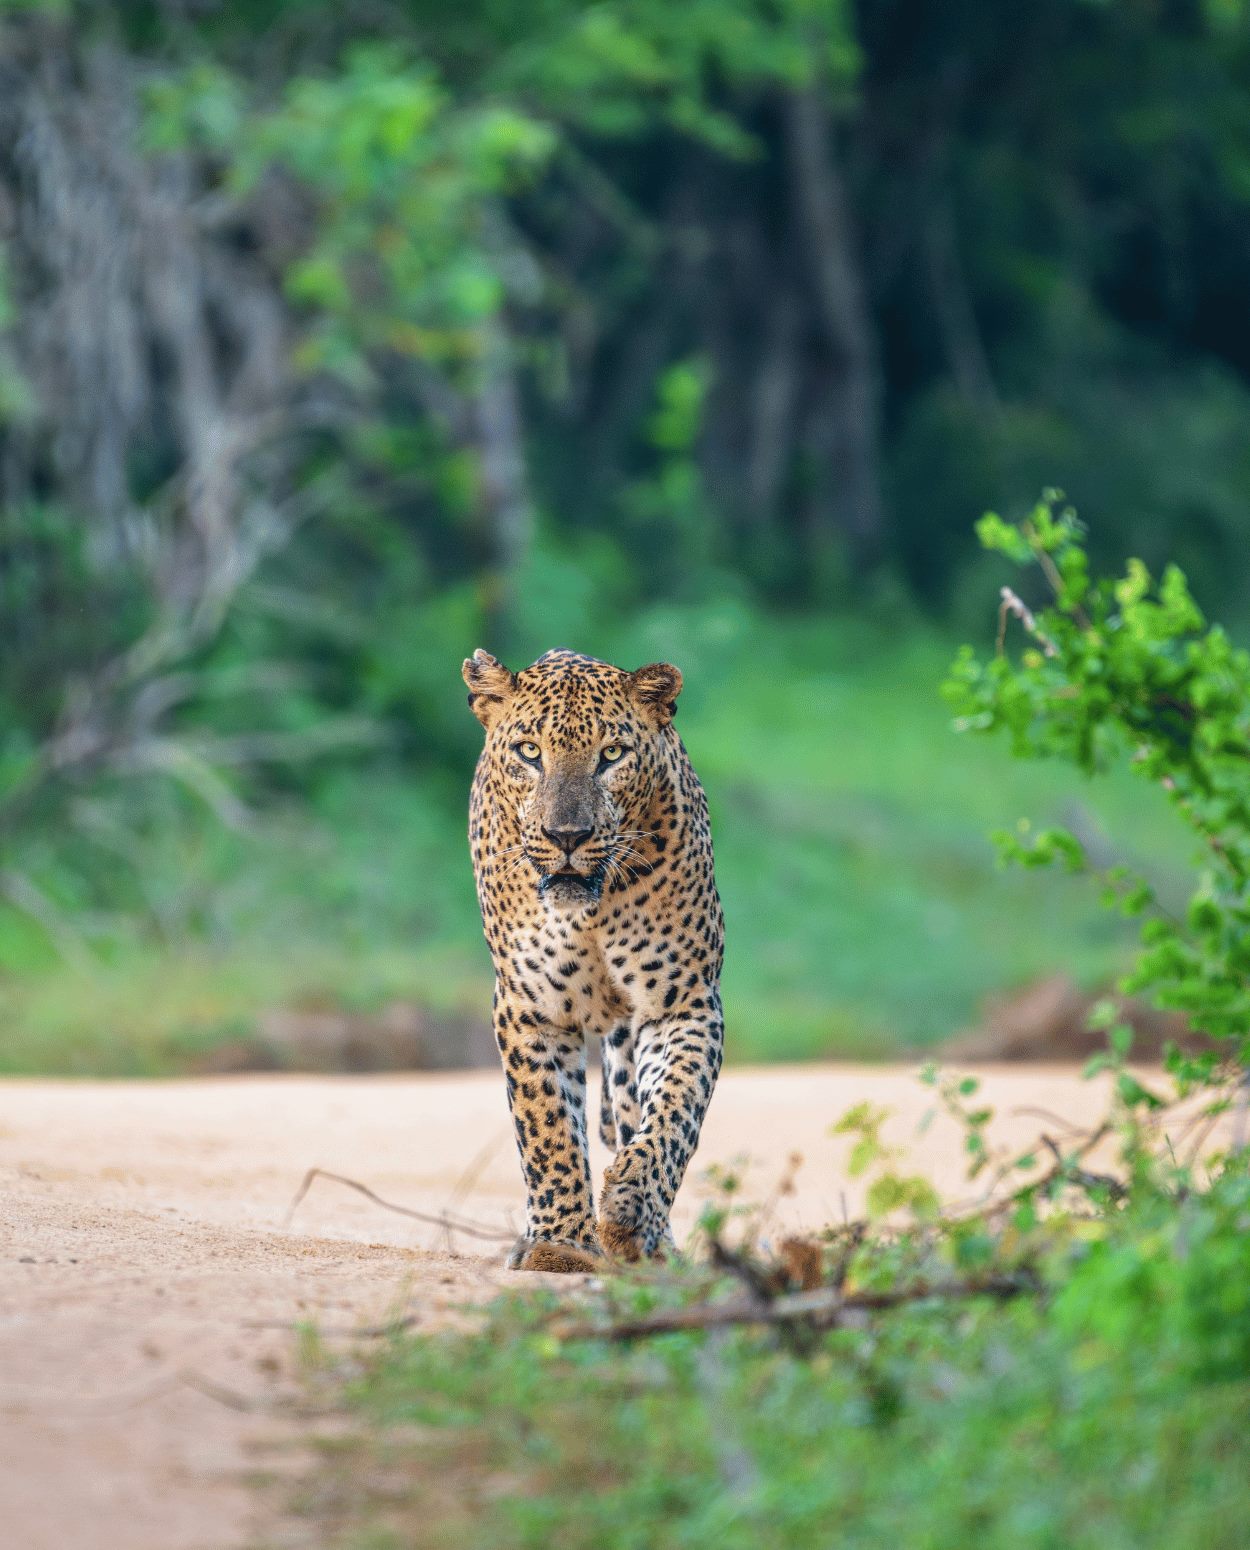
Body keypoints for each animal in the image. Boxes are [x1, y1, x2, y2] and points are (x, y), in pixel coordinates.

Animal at [462, 646, 725, 1273]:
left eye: (611, 755)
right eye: (529, 752)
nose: (567, 836)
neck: (591, 910)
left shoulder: (683, 1003)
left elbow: (675, 1110)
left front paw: (630, 1205)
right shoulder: (528, 1008)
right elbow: (549, 1127)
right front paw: (560, 1246)